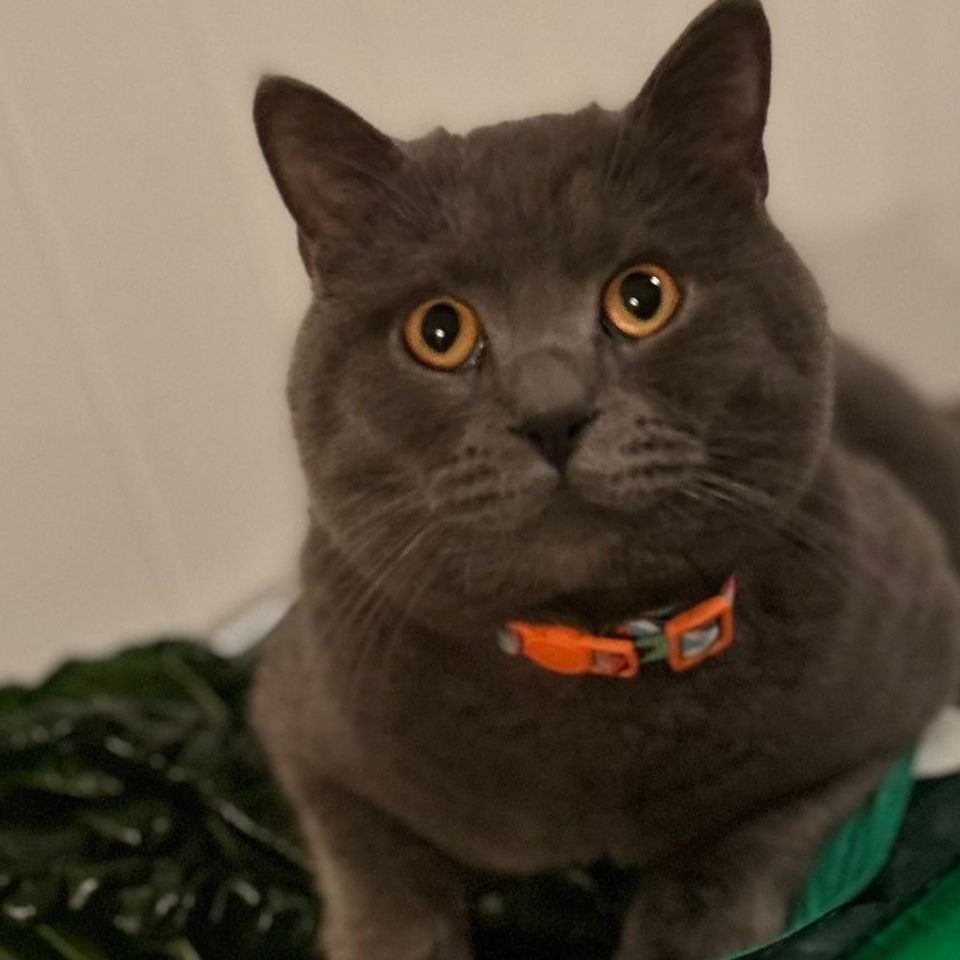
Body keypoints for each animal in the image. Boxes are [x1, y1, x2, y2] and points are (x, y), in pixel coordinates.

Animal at [250, 1, 960, 957]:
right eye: (437, 330)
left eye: (643, 296)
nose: (553, 413)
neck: (589, 645)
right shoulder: (302, 717)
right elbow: (379, 876)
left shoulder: (903, 675)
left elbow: (746, 838)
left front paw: (685, 927)